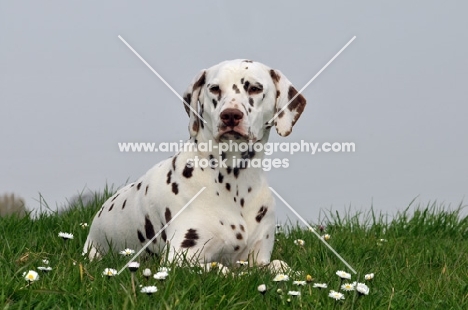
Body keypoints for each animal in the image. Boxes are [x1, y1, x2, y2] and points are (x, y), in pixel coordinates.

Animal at [84, 58, 308, 268]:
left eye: (255, 88)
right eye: (215, 88)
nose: (230, 115)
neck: (236, 183)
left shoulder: (258, 258)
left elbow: (280, 266)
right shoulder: (179, 259)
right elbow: (221, 270)